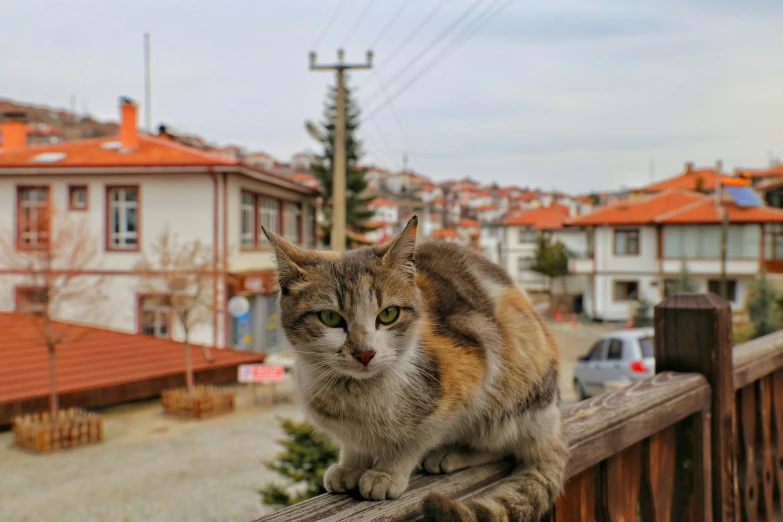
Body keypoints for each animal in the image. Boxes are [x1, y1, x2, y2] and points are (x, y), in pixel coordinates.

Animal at [264, 213, 568, 516]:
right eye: (329, 318)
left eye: (388, 314)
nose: (365, 353)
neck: (358, 396)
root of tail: (552, 423)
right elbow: (353, 444)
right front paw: (350, 466)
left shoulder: (465, 377)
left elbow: (414, 440)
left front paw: (386, 473)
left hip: (514, 392)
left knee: (502, 445)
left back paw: (451, 454)